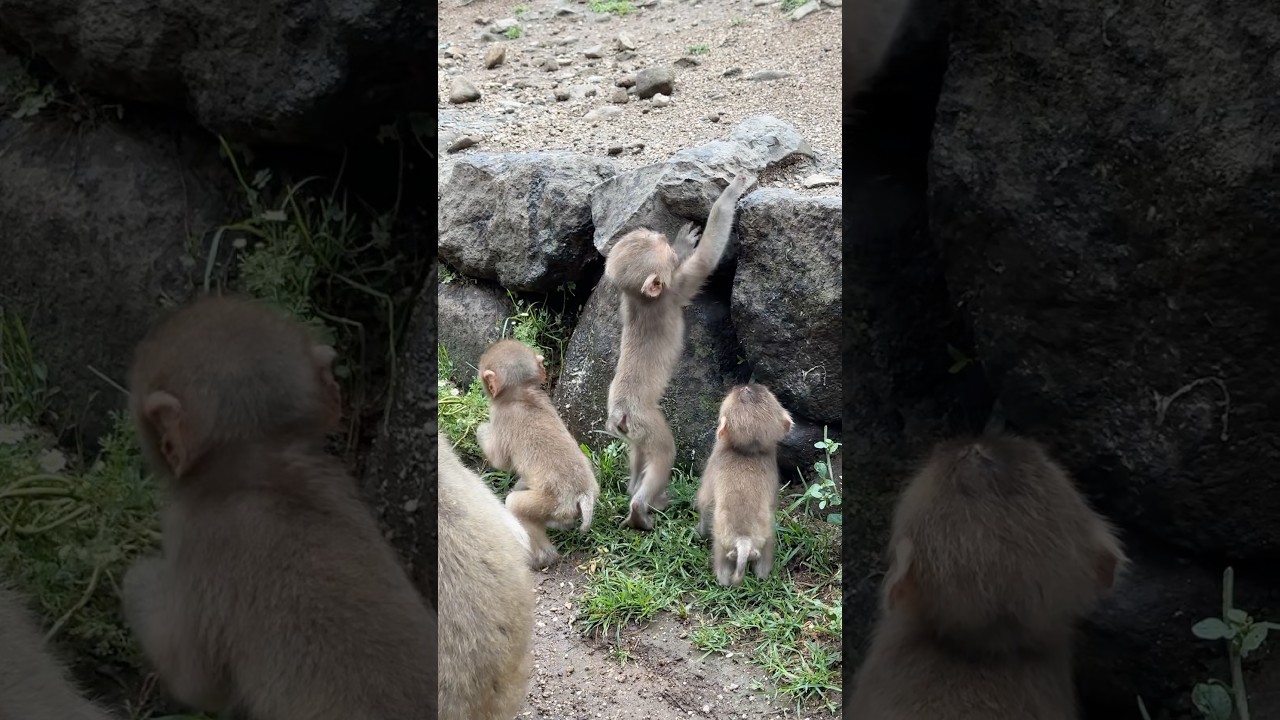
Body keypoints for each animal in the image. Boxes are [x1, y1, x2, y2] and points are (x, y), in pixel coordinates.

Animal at [475, 339, 599, 569]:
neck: (522, 393)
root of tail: (582, 494)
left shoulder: (502, 417)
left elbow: (500, 461)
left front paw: (480, 429)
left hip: (552, 504)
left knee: (515, 504)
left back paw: (540, 557)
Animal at [605, 172, 754, 531]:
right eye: (658, 246)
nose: (662, 234)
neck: (643, 301)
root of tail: (619, 413)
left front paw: (682, 241)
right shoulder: (674, 289)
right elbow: (706, 259)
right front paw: (732, 191)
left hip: (632, 432)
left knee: (638, 455)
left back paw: (637, 492)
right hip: (648, 422)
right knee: (662, 453)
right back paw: (640, 509)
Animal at [693, 384, 793, 587]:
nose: (745, 386)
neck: (748, 452)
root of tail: (744, 540)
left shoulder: (713, 465)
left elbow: (705, 503)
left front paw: (699, 532)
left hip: (723, 547)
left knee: (723, 569)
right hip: (766, 541)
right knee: (763, 564)